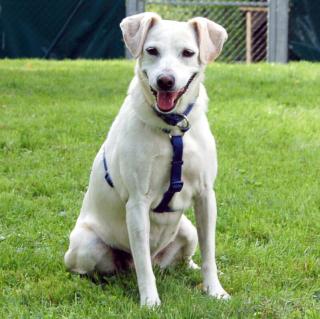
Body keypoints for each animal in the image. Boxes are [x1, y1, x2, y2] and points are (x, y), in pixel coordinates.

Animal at [65, 11, 230, 308]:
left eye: (188, 53)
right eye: (152, 50)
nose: (165, 80)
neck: (173, 128)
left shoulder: (205, 195)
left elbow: (209, 253)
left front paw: (215, 290)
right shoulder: (137, 203)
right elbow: (143, 264)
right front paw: (150, 300)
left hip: (187, 230)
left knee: (185, 259)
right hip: (86, 244)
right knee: (107, 267)